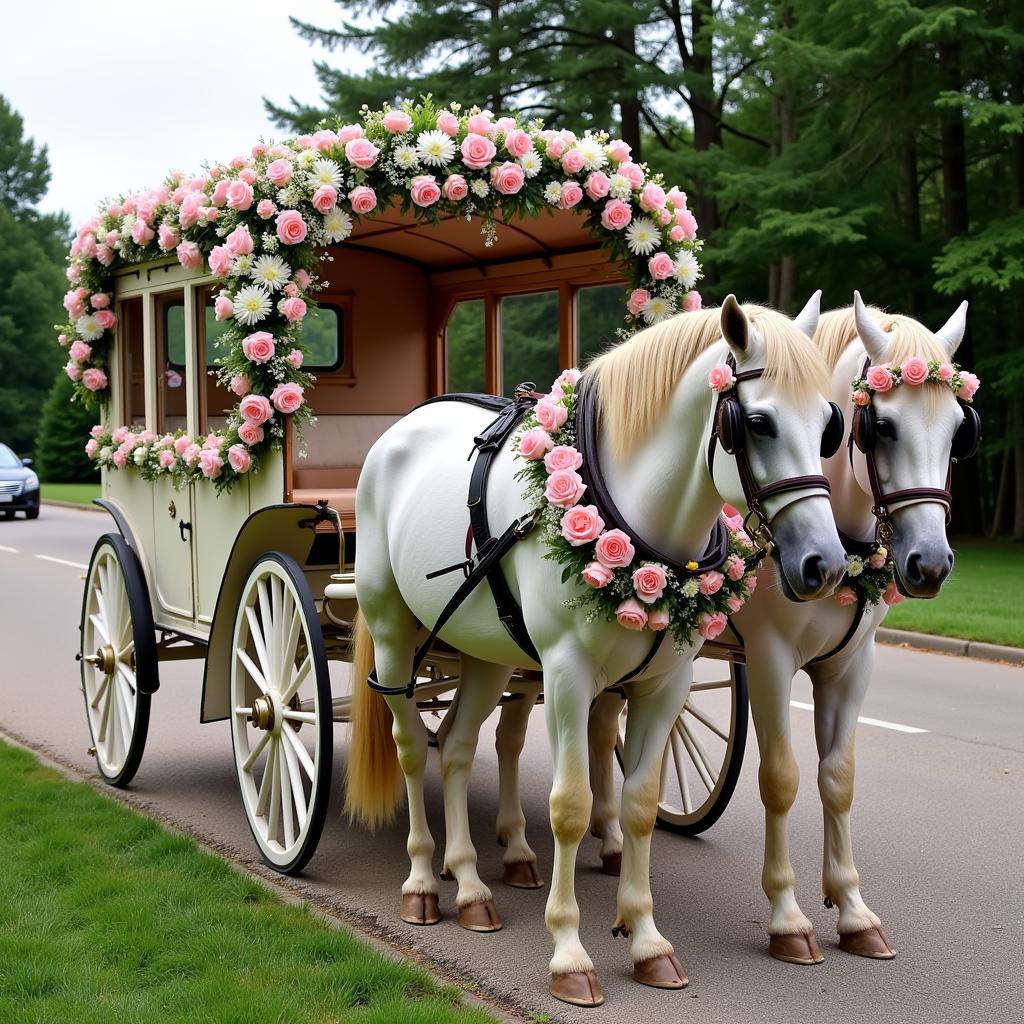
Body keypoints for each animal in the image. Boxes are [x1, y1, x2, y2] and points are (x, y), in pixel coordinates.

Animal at [348, 296, 843, 1007]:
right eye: (757, 421)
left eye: (831, 425)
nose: (824, 564)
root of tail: (401, 428)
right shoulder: (566, 675)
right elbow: (571, 805)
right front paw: (569, 952)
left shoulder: (667, 683)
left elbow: (637, 804)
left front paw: (647, 939)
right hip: (391, 628)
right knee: (414, 746)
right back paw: (421, 879)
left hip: (486, 650)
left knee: (461, 747)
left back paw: (468, 885)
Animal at [495, 294, 974, 966]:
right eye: (880, 428)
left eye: (960, 430)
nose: (929, 563)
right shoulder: (771, 658)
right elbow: (781, 778)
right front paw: (788, 916)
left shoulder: (852, 664)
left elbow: (838, 780)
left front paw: (853, 909)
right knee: (511, 732)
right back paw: (516, 846)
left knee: (602, 724)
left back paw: (610, 839)